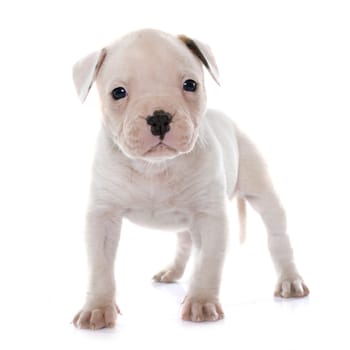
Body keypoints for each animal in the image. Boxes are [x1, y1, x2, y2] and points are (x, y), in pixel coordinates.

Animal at [72, 28, 308, 330]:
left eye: (190, 84)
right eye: (118, 93)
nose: (159, 118)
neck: (154, 168)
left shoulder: (210, 218)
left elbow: (208, 262)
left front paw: (201, 303)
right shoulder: (103, 216)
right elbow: (100, 266)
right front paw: (97, 309)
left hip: (260, 190)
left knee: (277, 235)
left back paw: (290, 280)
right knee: (185, 242)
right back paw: (172, 271)